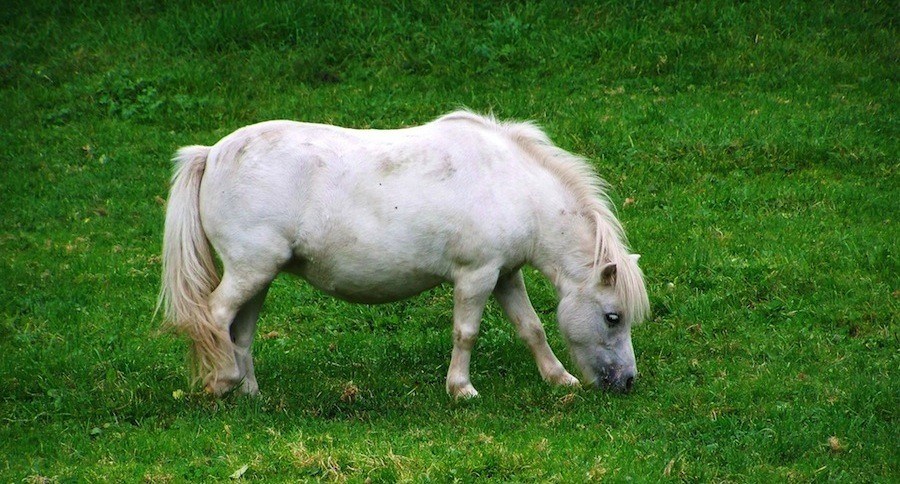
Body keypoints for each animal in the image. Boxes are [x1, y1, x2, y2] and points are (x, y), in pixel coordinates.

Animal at [158, 110, 649, 398]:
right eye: (613, 317)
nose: (627, 382)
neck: (511, 185)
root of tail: (211, 153)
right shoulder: (477, 276)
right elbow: (466, 333)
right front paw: (461, 390)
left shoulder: (506, 275)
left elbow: (531, 329)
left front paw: (559, 379)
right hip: (249, 272)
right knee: (215, 316)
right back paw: (223, 384)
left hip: (259, 276)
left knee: (239, 331)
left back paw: (251, 394)